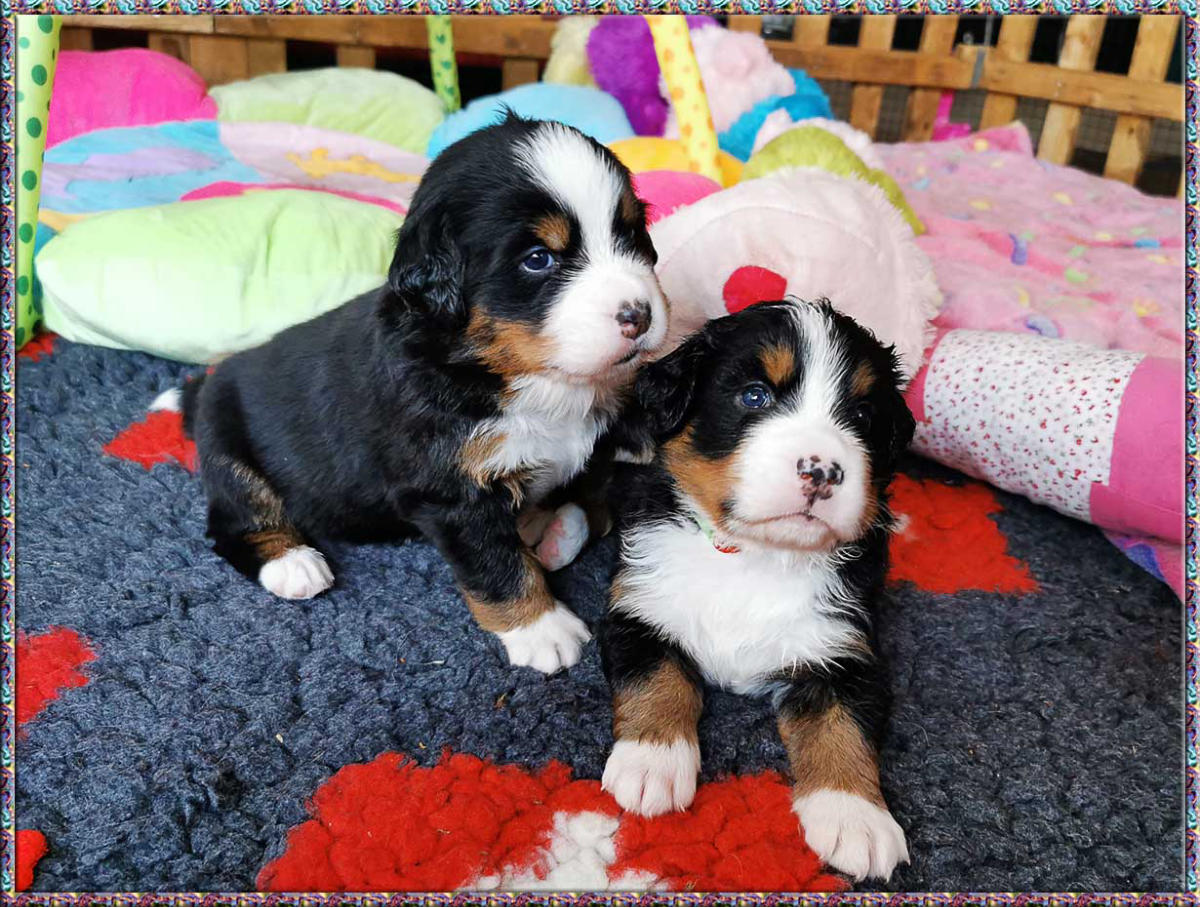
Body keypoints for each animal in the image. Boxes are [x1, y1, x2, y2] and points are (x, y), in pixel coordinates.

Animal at [178, 114, 668, 674]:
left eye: (630, 234)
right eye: (538, 259)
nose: (639, 314)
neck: (515, 374)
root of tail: (207, 386)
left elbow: (590, 489)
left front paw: (558, 527)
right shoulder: (449, 489)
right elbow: (496, 564)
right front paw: (542, 628)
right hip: (228, 448)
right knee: (233, 520)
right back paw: (293, 563)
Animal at [599, 300, 915, 880]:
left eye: (861, 416)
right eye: (753, 396)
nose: (822, 470)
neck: (755, 556)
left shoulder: (845, 649)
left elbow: (843, 727)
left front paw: (856, 817)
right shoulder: (640, 607)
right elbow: (656, 678)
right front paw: (652, 762)